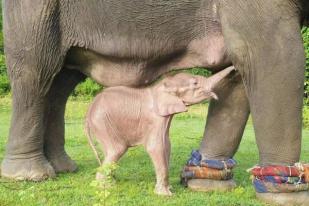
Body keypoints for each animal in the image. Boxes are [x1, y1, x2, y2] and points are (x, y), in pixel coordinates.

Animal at [84, 66, 233, 196]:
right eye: (195, 83)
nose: (234, 68)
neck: (164, 85)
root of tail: (89, 110)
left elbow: (167, 145)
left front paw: (169, 189)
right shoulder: (155, 119)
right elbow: (156, 147)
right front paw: (166, 195)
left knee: (109, 152)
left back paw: (110, 182)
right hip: (102, 122)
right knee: (117, 150)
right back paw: (106, 186)